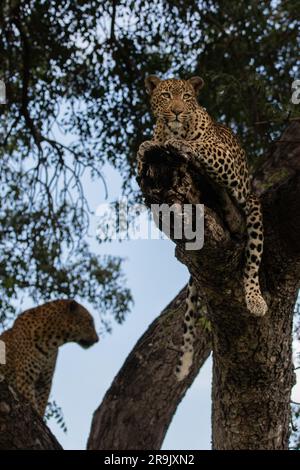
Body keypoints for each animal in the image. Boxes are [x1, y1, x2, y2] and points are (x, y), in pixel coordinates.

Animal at [138, 75, 268, 380]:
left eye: (186, 97)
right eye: (165, 96)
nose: (175, 112)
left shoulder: (220, 152)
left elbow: (200, 147)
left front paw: (174, 143)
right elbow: (146, 149)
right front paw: (145, 149)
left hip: (252, 205)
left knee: (252, 257)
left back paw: (255, 300)